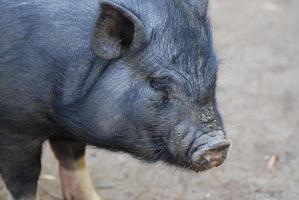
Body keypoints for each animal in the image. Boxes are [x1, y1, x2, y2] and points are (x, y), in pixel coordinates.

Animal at [0, 0, 231, 200]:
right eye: (157, 83)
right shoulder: (14, 127)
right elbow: (23, 182)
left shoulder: (66, 128)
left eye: (214, 74)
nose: (218, 144)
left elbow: (73, 160)